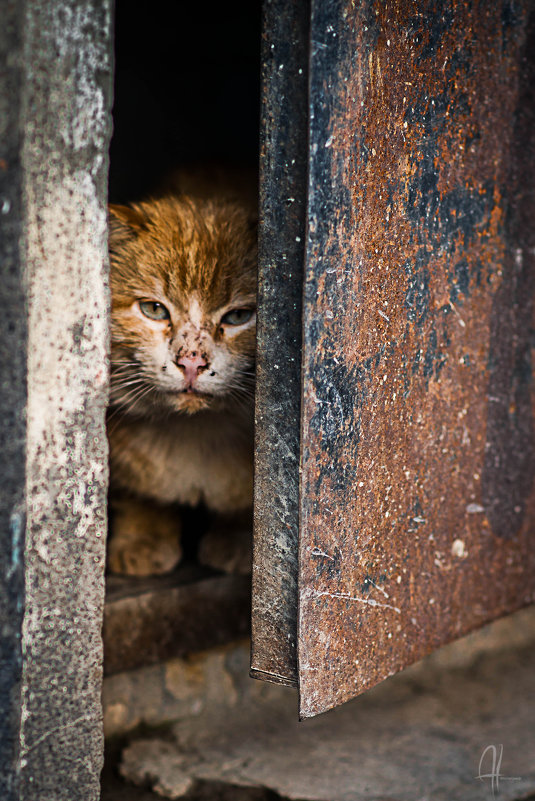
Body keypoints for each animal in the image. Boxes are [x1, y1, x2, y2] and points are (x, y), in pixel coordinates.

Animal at [107, 188, 258, 576]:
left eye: (239, 316)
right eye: (154, 309)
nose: (192, 361)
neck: (195, 430)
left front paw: (238, 540)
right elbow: (139, 493)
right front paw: (143, 537)